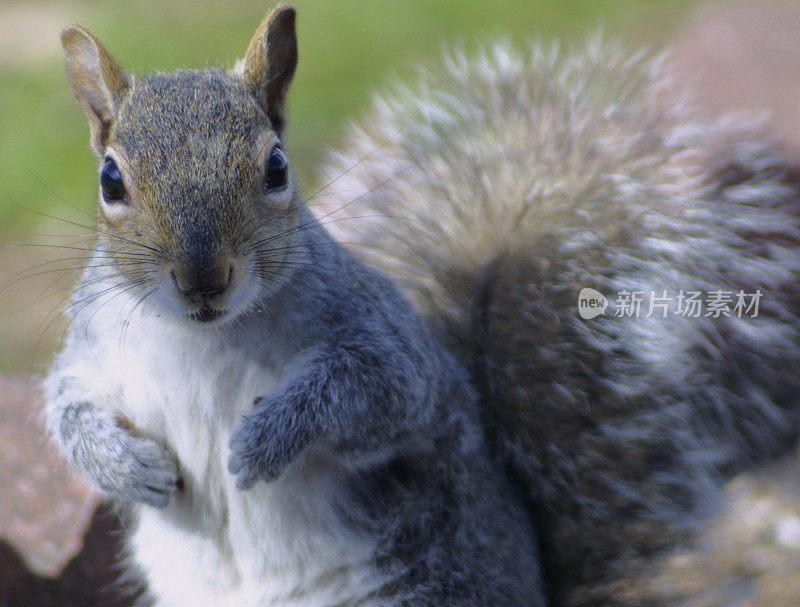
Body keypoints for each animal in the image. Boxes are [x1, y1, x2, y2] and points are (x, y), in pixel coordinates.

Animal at [42, 4, 800, 607]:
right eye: (111, 180)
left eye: (277, 167)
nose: (203, 279)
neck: (201, 336)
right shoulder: (94, 350)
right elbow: (67, 407)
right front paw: (122, 465)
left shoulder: (385, 341)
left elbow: (379, 394)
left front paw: (266, 437)